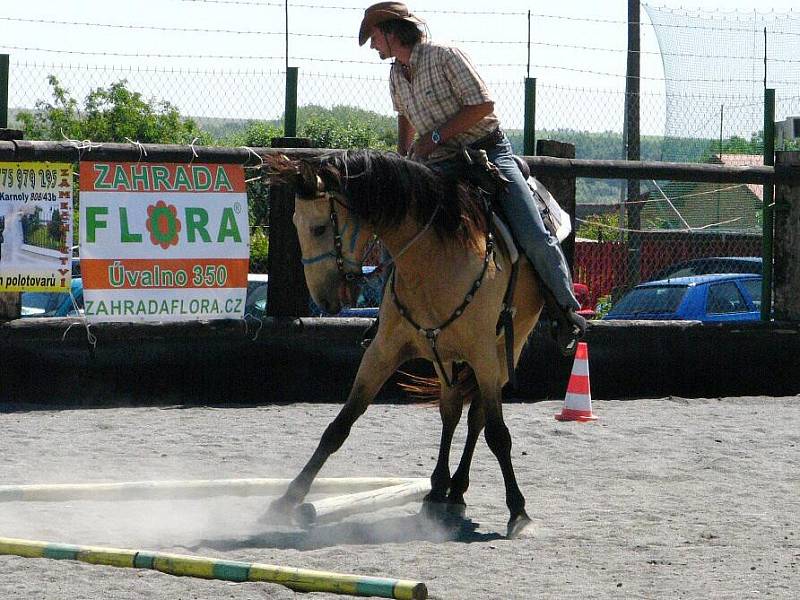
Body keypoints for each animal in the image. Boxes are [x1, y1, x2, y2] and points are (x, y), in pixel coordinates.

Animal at [266, 150, 548, 540]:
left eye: (320, 227)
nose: (323, 299)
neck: (433, 260)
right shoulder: (383, 351)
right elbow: (339, 426)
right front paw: (287, 500)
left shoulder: (484, 357)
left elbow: (498, 434)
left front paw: (518, 510)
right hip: (445, 358)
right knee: (451, 411)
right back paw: (441, 491)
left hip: (508, 349)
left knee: (476, 418)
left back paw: (456, 491)